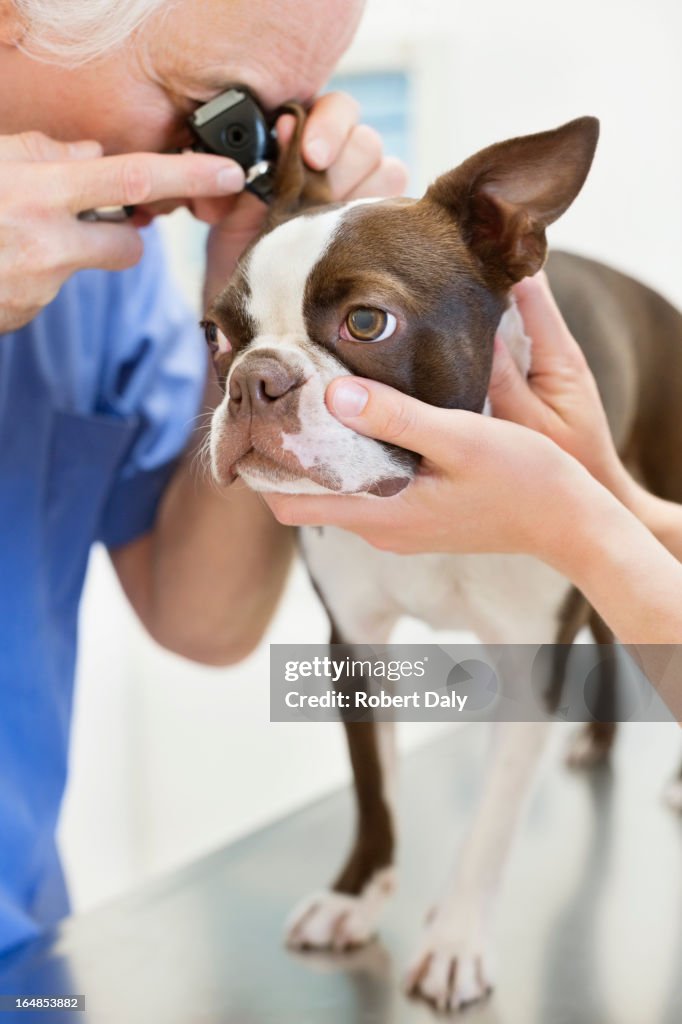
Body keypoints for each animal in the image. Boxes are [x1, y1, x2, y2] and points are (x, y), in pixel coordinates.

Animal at [204, 110, 679, 1007]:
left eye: (367, 324)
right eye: (219, 335)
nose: (254, 379)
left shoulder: (530, 664)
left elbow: (490, 822)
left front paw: (456, 937)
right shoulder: (356, 646)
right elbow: (374, 791)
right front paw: (358, 895)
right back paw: (599, 740)